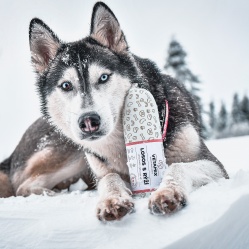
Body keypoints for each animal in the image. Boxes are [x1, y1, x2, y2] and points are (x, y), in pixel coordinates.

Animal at [0, 1, 228, 220]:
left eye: (103, 77)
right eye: (66, 85)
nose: (88, 121)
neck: (121, 145)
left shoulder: (215, 165)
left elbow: (177, 166)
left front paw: (167, 192)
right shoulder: (102, 170)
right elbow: (110, 178)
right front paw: (111, 200)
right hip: (72, 151)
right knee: (23, 187)